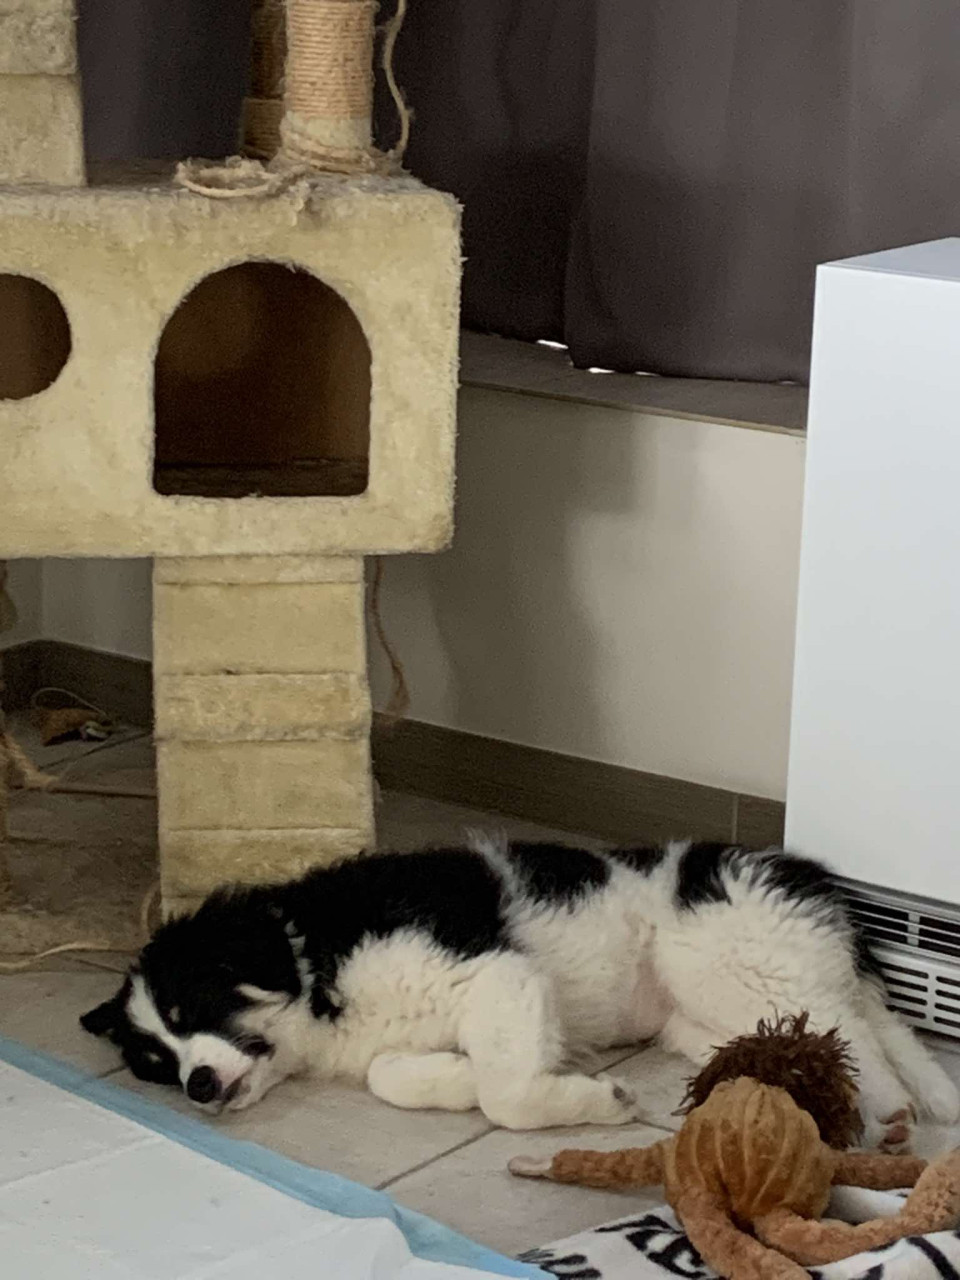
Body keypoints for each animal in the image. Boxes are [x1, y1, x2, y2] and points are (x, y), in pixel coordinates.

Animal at [81, 837, 959, 1144]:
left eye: (193, 1008)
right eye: (153, 1064)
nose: (195, 1086)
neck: (307, 953)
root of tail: (812, 882)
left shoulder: (495, 969)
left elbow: (508, 1097)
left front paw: (594, 1101)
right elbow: (391, 1074)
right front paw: (456, 1077)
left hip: (731, 959)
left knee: (854, 1031)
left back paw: (888, 1113)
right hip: (719, 1013)